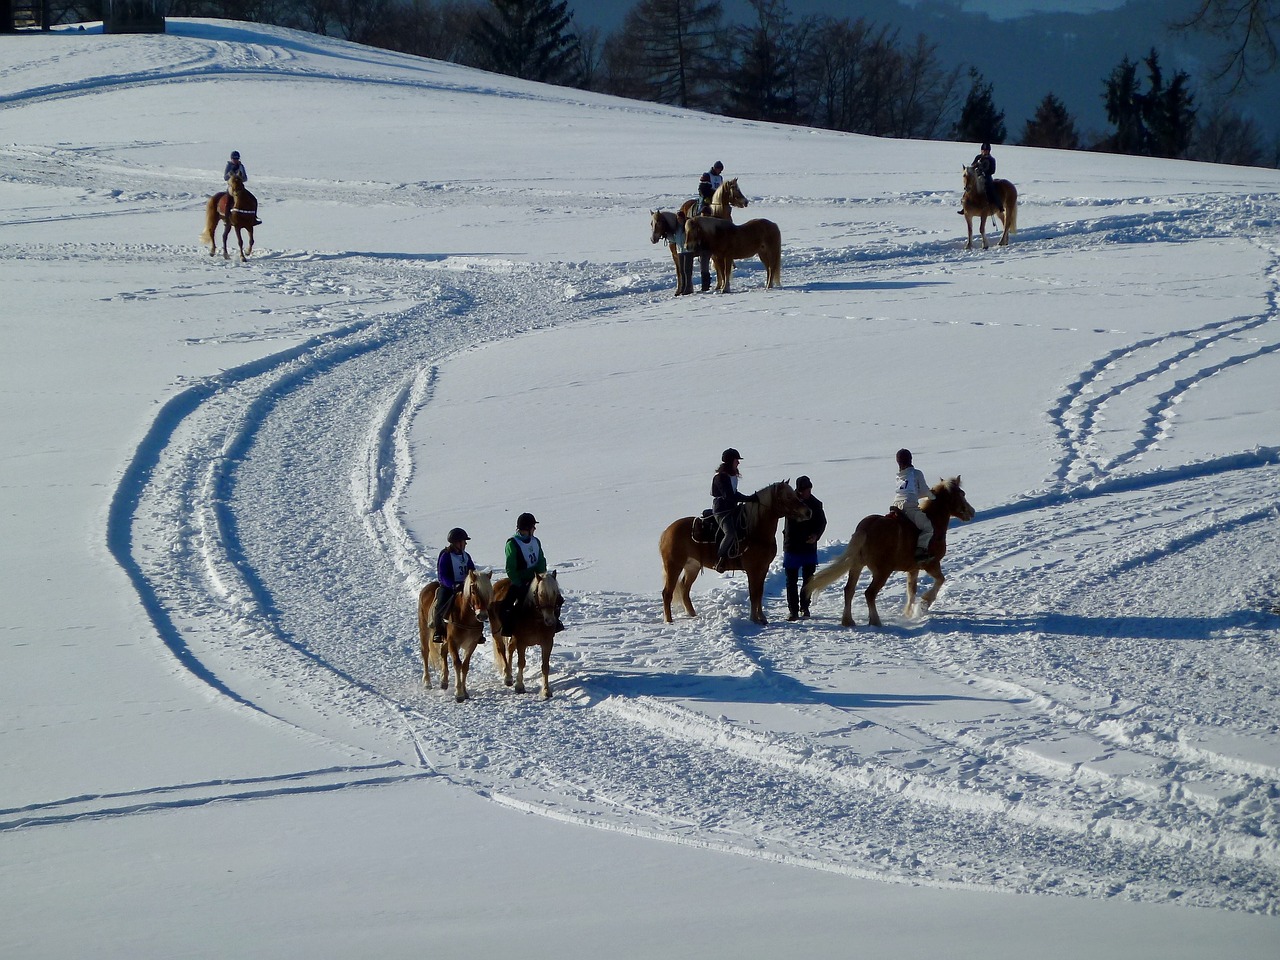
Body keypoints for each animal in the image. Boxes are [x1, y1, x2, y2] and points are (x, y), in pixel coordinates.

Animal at [422, 568, 496, 701]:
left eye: (489, 593)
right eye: (473, 591)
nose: (482, 615)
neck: (465, 617)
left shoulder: (471, 644)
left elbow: (465, 666)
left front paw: (465, 692)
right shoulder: (453, 642)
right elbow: (457, 663)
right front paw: (459, 693)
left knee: (443, 652)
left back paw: (444, 681)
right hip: (424, 629)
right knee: (425, 652)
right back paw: (427, 682)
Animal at [488, 570, 560, 701]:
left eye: (555, 593)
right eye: (540, 594)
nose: (550, 621)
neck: (535, 618)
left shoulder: (547, 643)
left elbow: (545, 666)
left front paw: (546, 690)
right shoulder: (521, 642)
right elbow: (521, 662)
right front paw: (519, 686)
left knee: (510, 649)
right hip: (496, 631)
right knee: (502, 650)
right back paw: (508, 677)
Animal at [660, 478, 808, 627]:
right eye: (788, 496)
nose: (808, 512)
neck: (755, 532)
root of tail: (667, 532)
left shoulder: (763, 568)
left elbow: (759, 593)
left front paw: (762, 617)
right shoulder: (752, 570)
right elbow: (754, 593)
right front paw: (754, 619)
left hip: (692, 567)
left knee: (684, 590)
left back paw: (692, 615)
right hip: (674, 566)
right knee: (667, 593)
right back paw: (669, 620)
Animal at [803, 476, 972, 627]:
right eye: (962, 494)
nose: (971, 512)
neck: (934, 522)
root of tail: (866, 527)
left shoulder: (913, 569)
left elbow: (911, 590)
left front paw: (908, 612)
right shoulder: (931, 564)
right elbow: (940, 580)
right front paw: (924, 604)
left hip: (857, 566)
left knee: (849, 590)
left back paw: (848, 621)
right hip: (882, 572)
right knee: (869, 593)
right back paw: (875, 621)